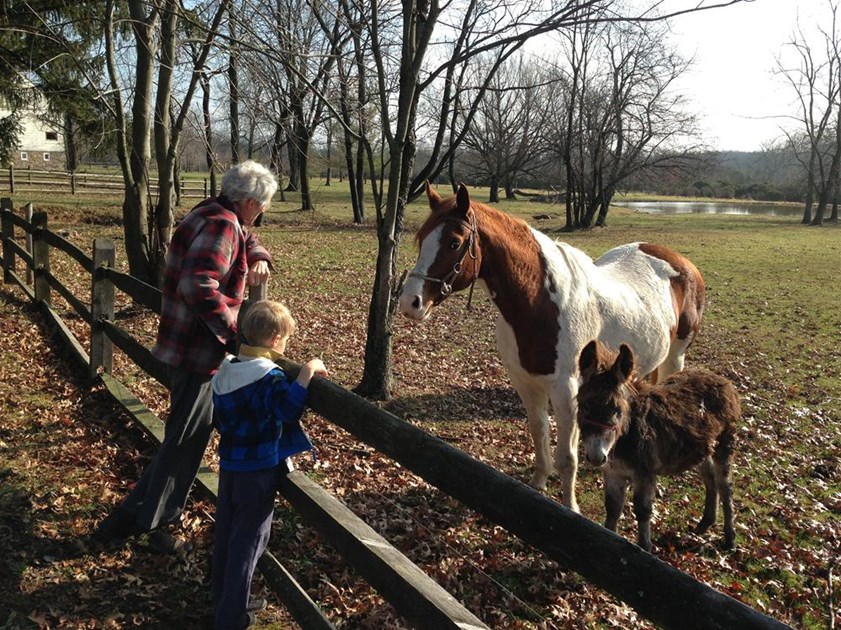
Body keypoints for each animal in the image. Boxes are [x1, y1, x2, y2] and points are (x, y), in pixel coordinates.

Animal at [398, 184, 704, 512]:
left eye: (454, 243)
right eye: (422, 238)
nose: (410, 302)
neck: (541, 304)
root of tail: (683, 264)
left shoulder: (566, 392)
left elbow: (567, 457)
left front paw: (570, 506)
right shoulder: (527, 384)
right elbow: (538, 432)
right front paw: (538, 484)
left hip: (675, 358)